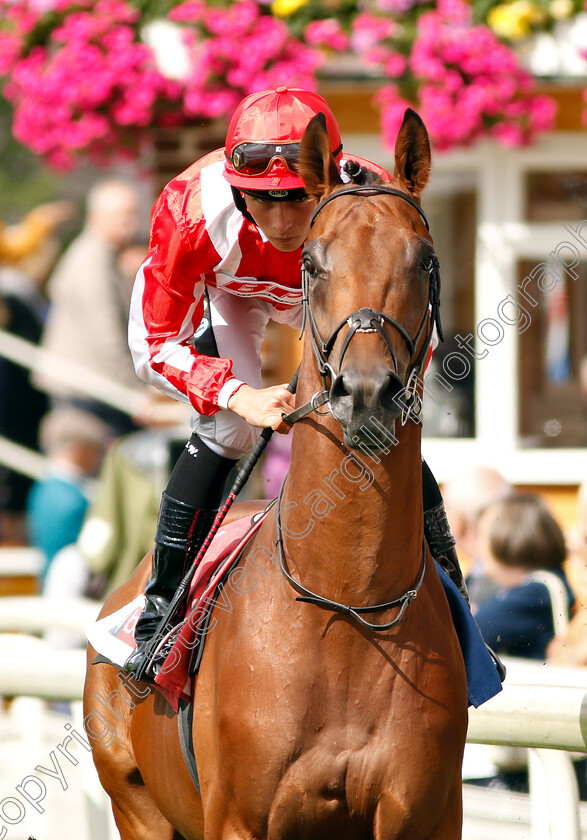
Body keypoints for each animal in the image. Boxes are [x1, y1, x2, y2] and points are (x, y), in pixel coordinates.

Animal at [84, 111, 468, 840]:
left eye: (426, 260)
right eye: (313, 264)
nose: (366, 394)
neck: (344, 606)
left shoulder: (424, 816)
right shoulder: (237, 819)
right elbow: (160, 343)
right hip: (135, 805)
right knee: (221, 434)